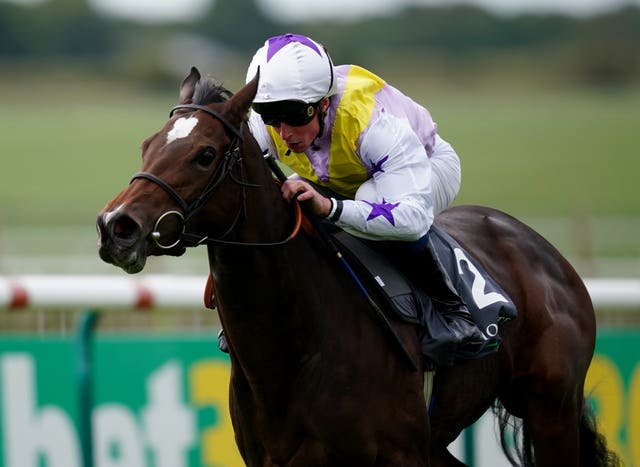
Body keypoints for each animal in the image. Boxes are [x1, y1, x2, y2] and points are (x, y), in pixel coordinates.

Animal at [97, 67, 616, 466]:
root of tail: (545, 253)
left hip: (551, 411)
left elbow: (399, 212)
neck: (296, 345)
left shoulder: (400, 455)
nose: (116, 226)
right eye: (147, 145)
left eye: (204, 154)